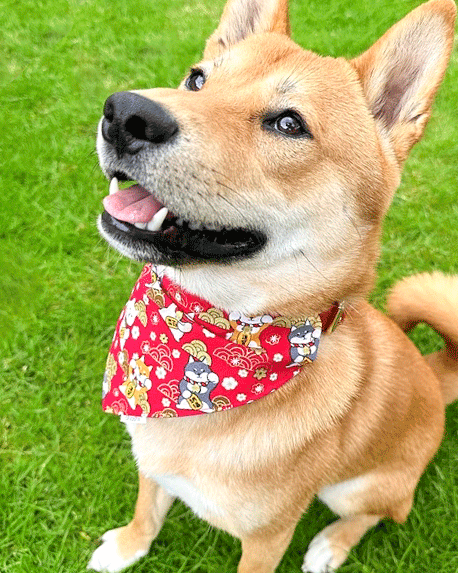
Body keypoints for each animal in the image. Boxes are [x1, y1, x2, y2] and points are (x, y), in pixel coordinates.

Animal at [87, 1, 456, 568]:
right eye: (197, 80)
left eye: (288, 123)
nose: (126, 114)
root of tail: (436, 377)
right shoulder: (151, 460)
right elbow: (147, 509)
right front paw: (128, 547)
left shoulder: (269, 535)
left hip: (354, 488)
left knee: (384, 512)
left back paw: (330, 546)